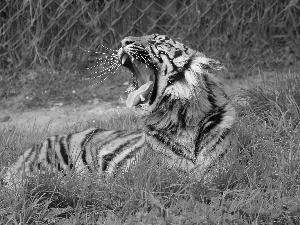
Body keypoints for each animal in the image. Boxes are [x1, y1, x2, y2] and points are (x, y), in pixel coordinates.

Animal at [2, 33, 237, 188]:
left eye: (156, 40)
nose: (124, 41)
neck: (181, 116)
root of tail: (22, 156)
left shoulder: (219, 171)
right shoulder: (167, 175)